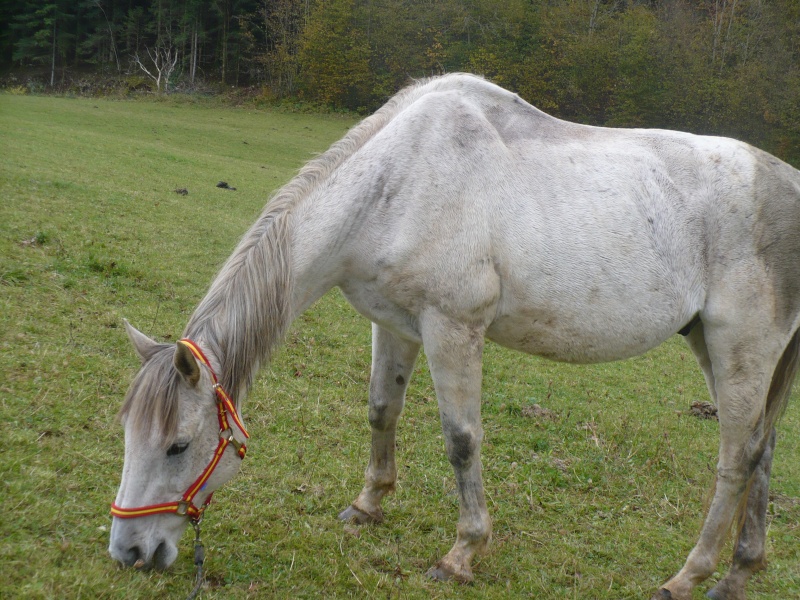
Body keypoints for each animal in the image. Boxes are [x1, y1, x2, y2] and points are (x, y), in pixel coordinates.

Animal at [108, 72, 800, 596]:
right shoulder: (394, 325)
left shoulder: (452, 328)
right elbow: (381, 411)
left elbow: (462, 440)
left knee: (736, 458)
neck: (396, 182)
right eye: (129, 435)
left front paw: (463, 552)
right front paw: (368, 506)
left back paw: (688, 577)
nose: (130, 552)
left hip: (740, 348)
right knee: (761, 448)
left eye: (178, 445)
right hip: (714, 345)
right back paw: (738, 574)